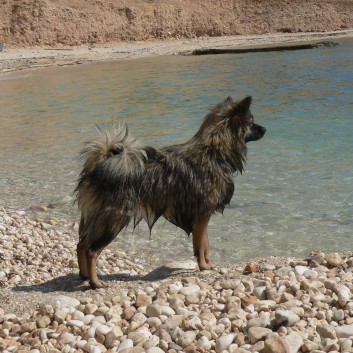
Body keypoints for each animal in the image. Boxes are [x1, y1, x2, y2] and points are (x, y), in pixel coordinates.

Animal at [75, 95, 266, 288]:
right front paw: (204, 266)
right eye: (251, 121)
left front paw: (209, 264)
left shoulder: (202, 217)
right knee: (91, 251)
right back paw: (95, 282)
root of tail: (97, 168)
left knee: (81, 245)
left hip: (95, 219)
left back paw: (84, 276)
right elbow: (201, 246)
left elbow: (205, 244)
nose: (265, 129)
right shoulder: (202, 216)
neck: (214, 151)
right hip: (113, 221)